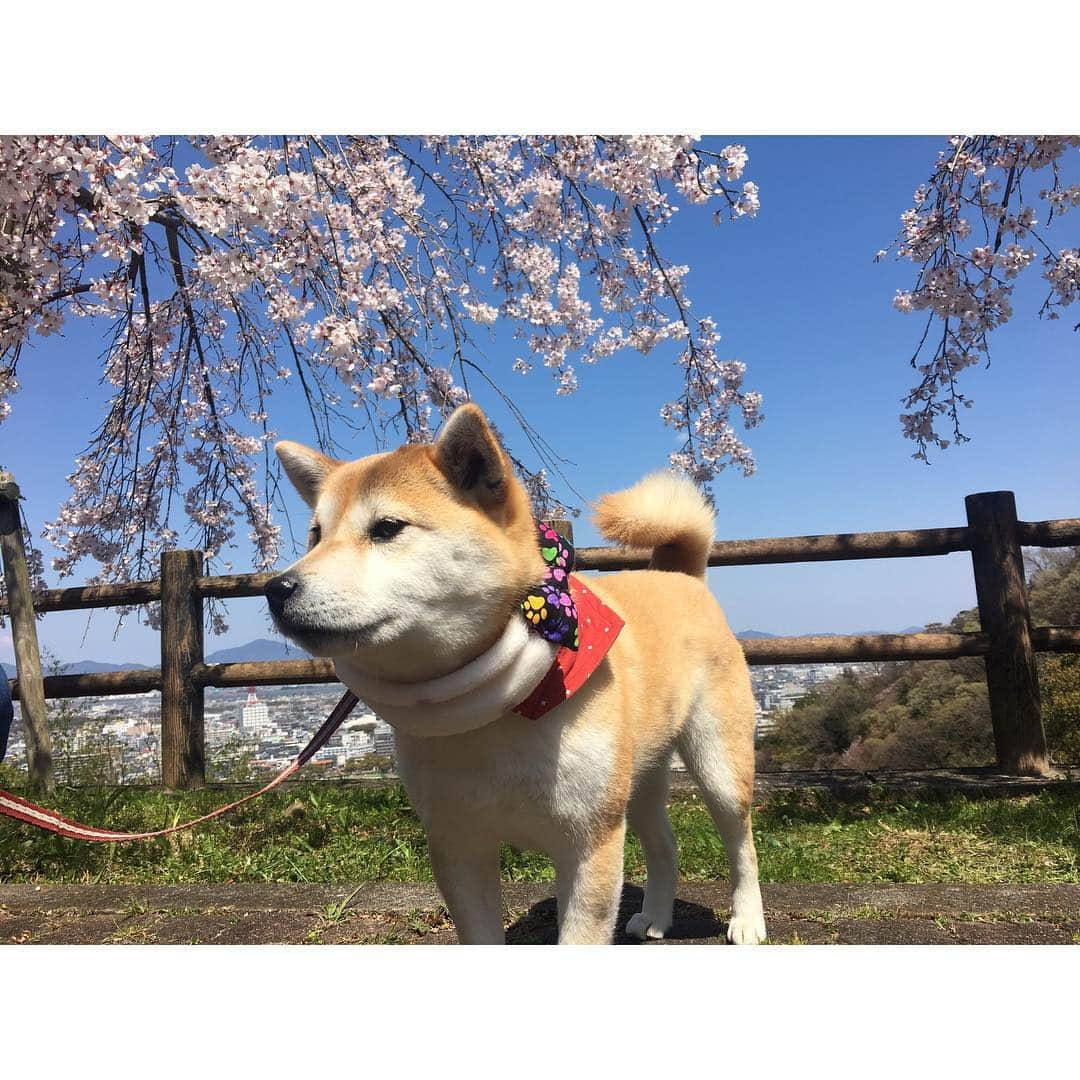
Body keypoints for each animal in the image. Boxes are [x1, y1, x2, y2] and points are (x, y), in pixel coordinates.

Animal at [264, 406, 764, 946]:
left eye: (387, 528)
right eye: (315, 535)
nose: (276, 588)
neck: (496, 707)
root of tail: (679, 577)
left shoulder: (590, 841)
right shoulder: (458, 843)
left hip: (717, 764)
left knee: (741, 843)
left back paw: (748, 920)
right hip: (639, 776)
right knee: (664, 844)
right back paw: (654, 915)